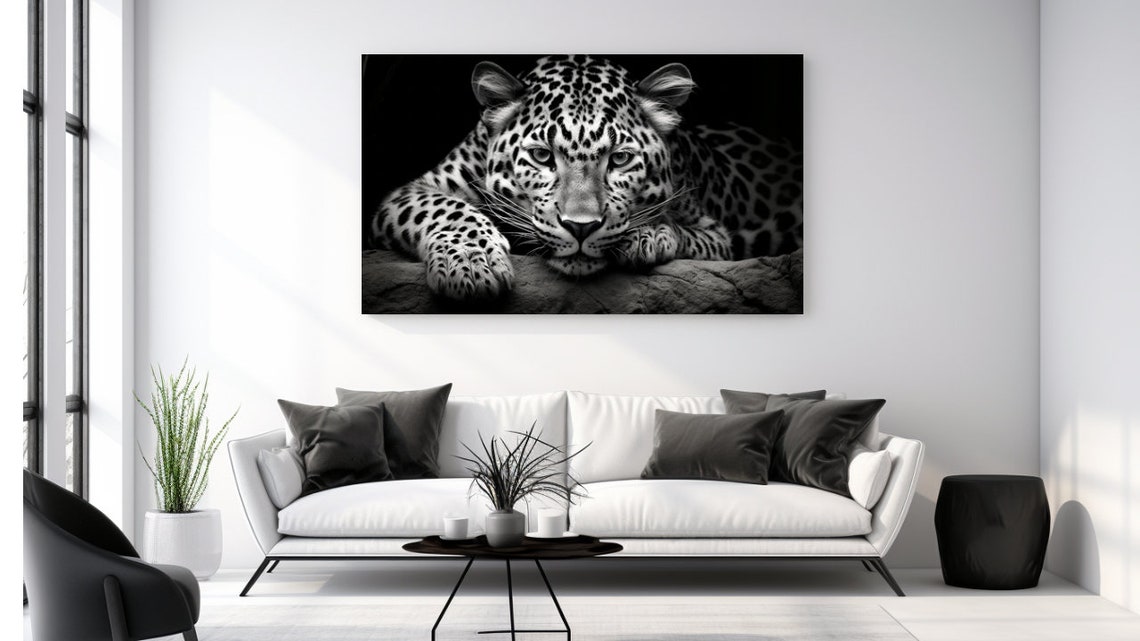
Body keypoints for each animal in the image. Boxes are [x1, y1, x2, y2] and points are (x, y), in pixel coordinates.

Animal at [368, 55, 802, 301]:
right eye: (542, 156)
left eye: (620, 159)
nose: (581, 227)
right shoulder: (417, 190)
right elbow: (447, 209)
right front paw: (472, 266)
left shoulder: (717, 235)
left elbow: (682, 229)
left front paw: (648, 233)